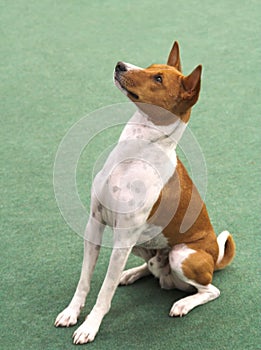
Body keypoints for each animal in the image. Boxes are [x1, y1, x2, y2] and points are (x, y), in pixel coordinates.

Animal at [53, 41, 235, 344]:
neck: (133, 155)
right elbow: (85, 281)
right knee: (153, 268)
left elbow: (104, 291)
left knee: (209, 290)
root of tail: (214, 259)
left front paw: (90, 326)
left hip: (181, 255)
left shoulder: (123, 239)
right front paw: (71, 312)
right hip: (144, 246)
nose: (120, 65)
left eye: (158, 79)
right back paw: (131, 274)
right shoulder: (95, 225)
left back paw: (183, 303)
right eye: (150, 68)